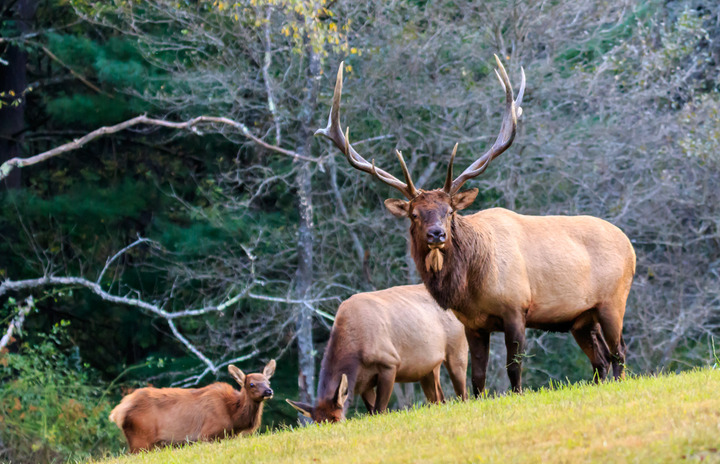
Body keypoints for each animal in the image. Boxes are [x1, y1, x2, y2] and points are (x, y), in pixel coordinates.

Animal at [109, 360, 276, 453]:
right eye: (251, 384)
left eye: (268, 381)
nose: (269, 391)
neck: (233, 416)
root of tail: (117, 412)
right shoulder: (207, 434)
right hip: (140, 439)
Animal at [286, 284, 468, 422]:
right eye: (318, 424)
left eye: (337, 420)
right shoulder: (362, 383)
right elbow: (372, 411)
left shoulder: (390, 363)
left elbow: (380, 410)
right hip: (427, 370)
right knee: (440, 399)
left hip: (457, 351)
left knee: (463, 394)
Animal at [315, 56, 635, 395]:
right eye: (415, 214)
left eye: (450, 211)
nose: (437, 234)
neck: (472, 283)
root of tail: (630, 247)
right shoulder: (472, 322)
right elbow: (477, 379)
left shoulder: (516, 307)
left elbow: (514, 368)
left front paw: (516, 395)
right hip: (581, 318)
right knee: (600, 359)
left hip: (613, 301)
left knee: (619, 353)